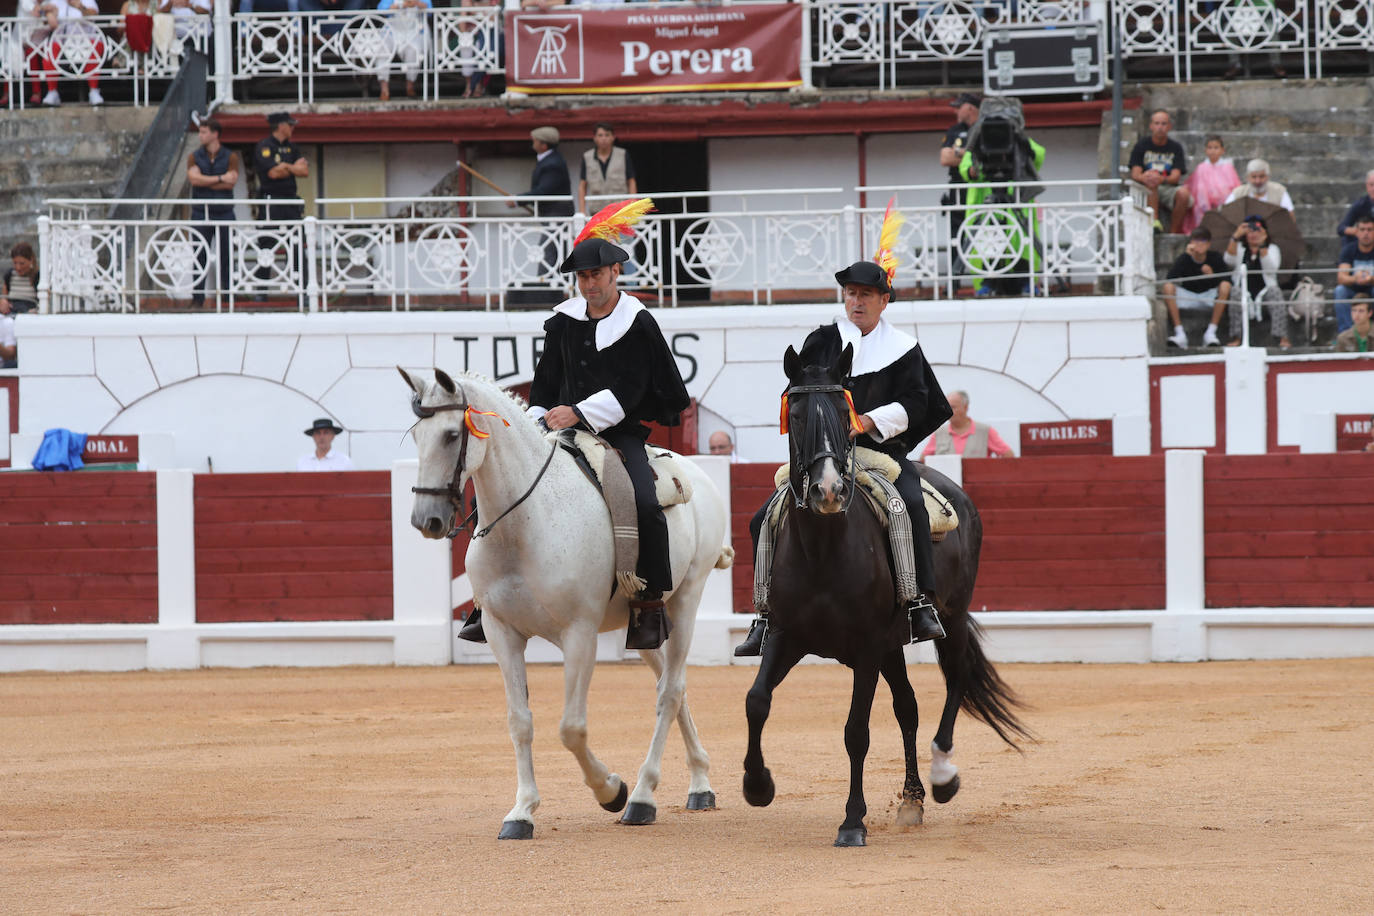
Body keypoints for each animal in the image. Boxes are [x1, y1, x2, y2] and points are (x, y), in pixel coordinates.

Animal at [398, 365, 736, 840]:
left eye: (450, 435)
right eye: (416, 434)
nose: (425, 520)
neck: (524, 524)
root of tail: (697, 473)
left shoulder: (579, 634)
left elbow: (571, 728)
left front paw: (610, 790)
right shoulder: (502, 632)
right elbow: (520, 721)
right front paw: (521, 812)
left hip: (687, 597)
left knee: (669, 693)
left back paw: (642, 797)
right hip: (648, 624)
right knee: (673, 686)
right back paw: (700, 784)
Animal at [747, 346, 1027, 851]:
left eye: (845, 413)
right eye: (795, 415)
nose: (828, 491)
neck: (823, 547)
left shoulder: (865, 648)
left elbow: (856, 730)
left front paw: (852, 822)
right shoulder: (784, 634)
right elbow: (757, 700)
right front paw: (758, 786)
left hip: (950, 617)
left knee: (956, 678)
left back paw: (941, 777)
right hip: (893, 645)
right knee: (908, 708)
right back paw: (912, 800)